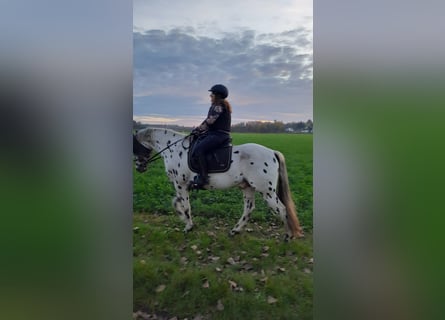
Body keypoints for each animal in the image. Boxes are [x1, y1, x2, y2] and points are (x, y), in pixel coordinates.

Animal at [134, 127, 304, 240]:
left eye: (134, 148)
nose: (139, 167)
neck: (174, 150)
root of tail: (272, 152)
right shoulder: (182, 186)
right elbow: (176, 202)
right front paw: (183, 219)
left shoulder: (180, 184)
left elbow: (186, 206)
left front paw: (188, 226)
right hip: (248, 188)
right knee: (249, 209)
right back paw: (235, 231)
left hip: (266, 191)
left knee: (282, 209)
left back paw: (288, 236)